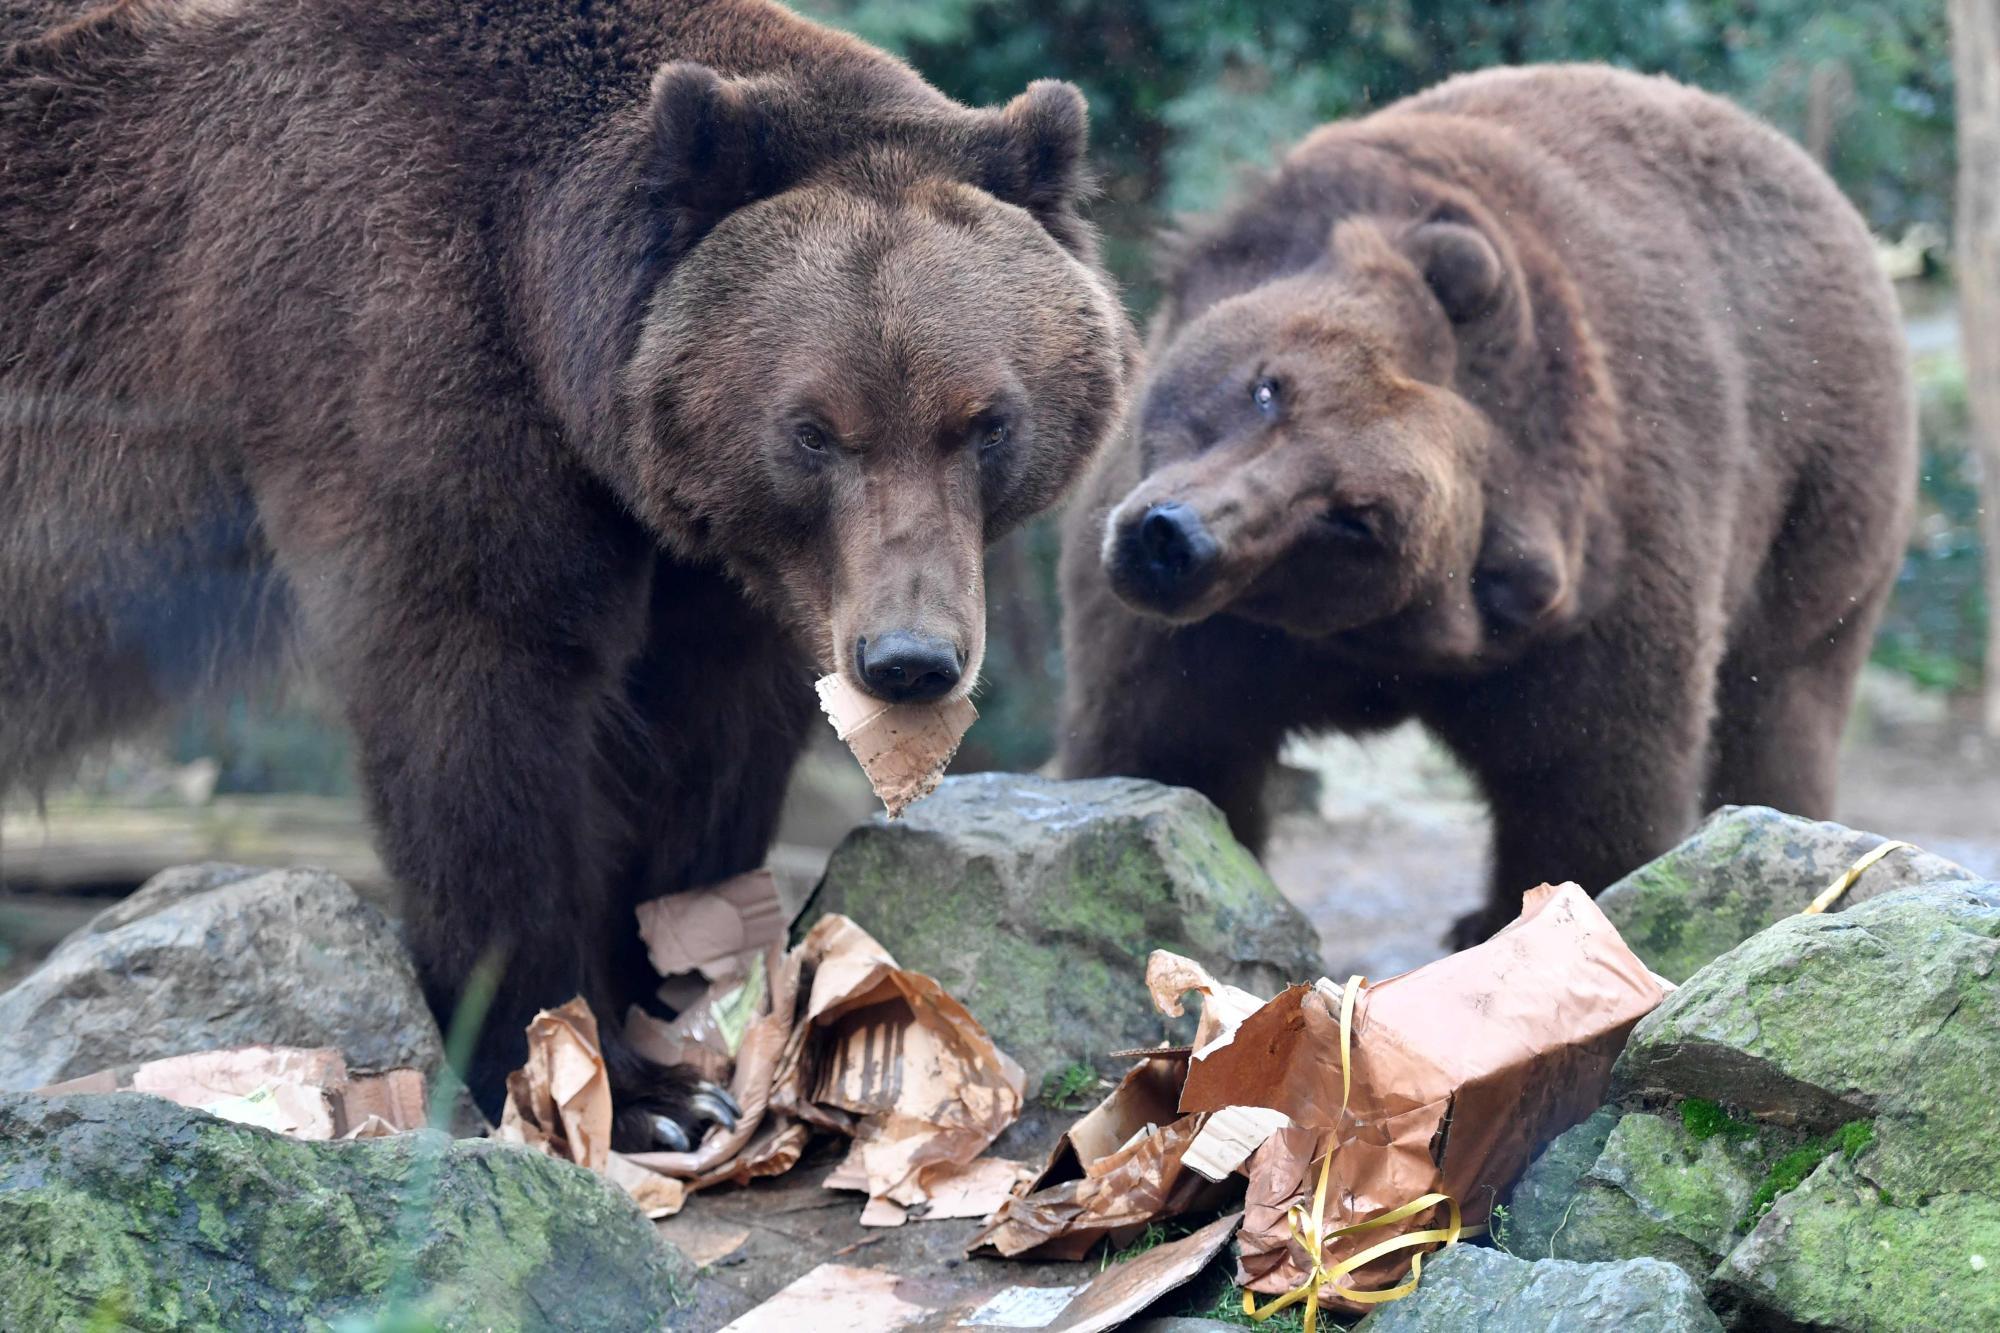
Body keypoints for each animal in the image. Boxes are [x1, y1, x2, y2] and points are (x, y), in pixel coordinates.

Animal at [0, 0, 1136, 1144]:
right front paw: (617, 1088)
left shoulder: (710, 549)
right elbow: (483, 709)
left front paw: (685, 1006)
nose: (908, 659)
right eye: (813, 429)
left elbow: (703, 735)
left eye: (986, 422)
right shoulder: (388, 340)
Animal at [1064, 59, 1920, 932]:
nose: (1175, 538)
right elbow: (1171, 746)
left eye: (1354, 517)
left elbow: (1592, 796)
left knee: (1781, 709)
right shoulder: (1199, 632)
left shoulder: (1592, 614)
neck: (1369, 648)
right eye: (1270, 386)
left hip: (1819, 509)